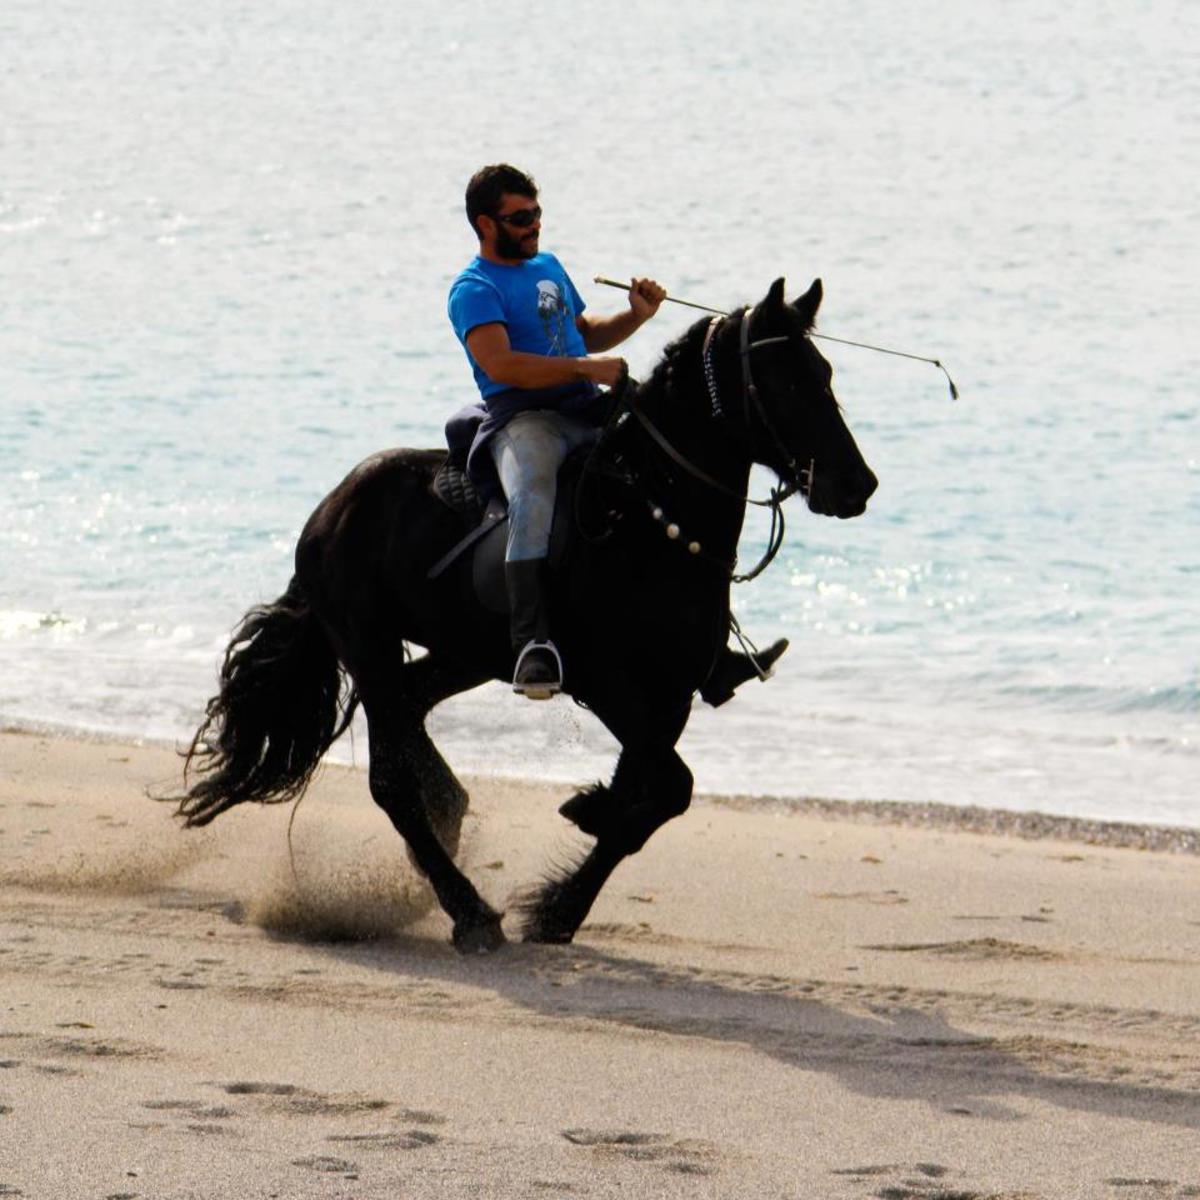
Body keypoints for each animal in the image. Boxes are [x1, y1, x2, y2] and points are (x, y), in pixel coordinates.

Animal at [174, 276, 878, 950]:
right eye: (786, 380)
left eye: (825, 373)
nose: (857, 486)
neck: (650, 516)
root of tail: (330, 511)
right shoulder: (609, 685)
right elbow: (666, 788)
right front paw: (569, 870)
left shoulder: (669, 696)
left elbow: (646, 800)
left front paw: (568, 880)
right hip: (367, 643)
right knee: (390, 782)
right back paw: (469, 912)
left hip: (463, 653)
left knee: (412, 711)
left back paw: (449, 821)